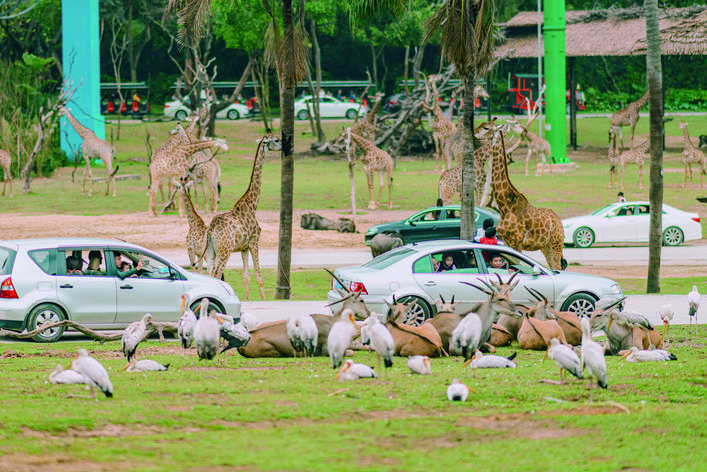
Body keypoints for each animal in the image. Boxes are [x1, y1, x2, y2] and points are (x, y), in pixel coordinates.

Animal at [202, 132, 282, 298]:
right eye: (276, 140)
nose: (285, 145)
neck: (253, 204)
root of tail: (211, 230)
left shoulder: (243, 247)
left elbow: (246, 277)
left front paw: (247, 299)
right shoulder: (254, 241)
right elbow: (259, 277)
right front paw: (264, 300)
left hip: (211, 252)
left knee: (210, 273)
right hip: (224, 251)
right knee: (217, 273)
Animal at [478, 120, 568, 272]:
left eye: (486, 128)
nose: (474, 133)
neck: (505, 206)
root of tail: (558, 220)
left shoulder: (516, 241)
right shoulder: (505, 241)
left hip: (556, 242)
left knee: (558, 266)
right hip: (545, 246)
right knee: (552, 265)